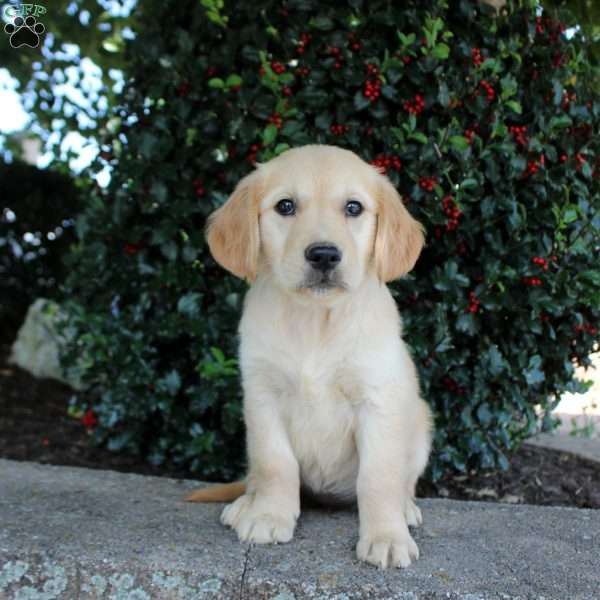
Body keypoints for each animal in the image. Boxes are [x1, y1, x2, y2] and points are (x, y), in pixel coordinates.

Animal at [186, 144, 432, 568]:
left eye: (353, 208)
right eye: (285, 206)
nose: (324, 255)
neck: (316, 320)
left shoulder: (378, 400)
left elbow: (379, 476)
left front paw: (386, 536)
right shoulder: (262, 397)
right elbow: (275, 462)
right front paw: (268, 515)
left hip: (420, 420)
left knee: (403, 480)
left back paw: (405, 509)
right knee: (257, 473)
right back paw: (246, 503)